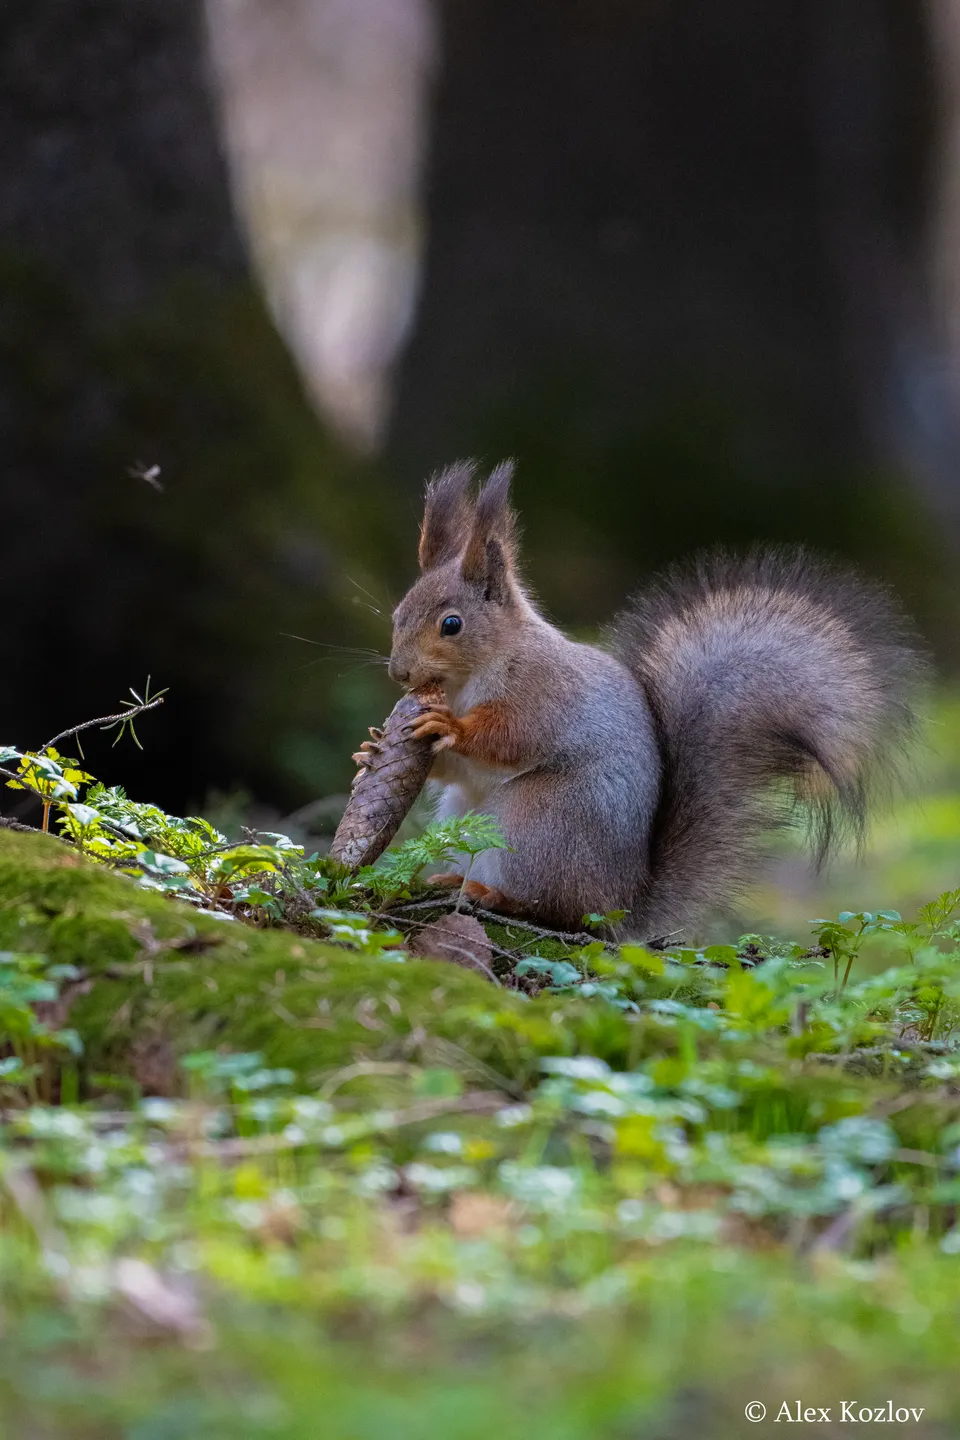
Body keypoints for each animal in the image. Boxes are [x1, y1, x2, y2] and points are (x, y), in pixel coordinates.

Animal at [386, 459, 926, 938]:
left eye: (451, 624)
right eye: (397, 613)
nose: (399, 672)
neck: (470, 678)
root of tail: (619, 904)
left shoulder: (543, 691)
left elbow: (512, 737)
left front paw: (451, 727)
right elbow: (455, 768)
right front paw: (378, 746)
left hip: (539, 820)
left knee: (553, 910)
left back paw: (494, 894)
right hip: (465, 817)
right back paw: (453, 878)